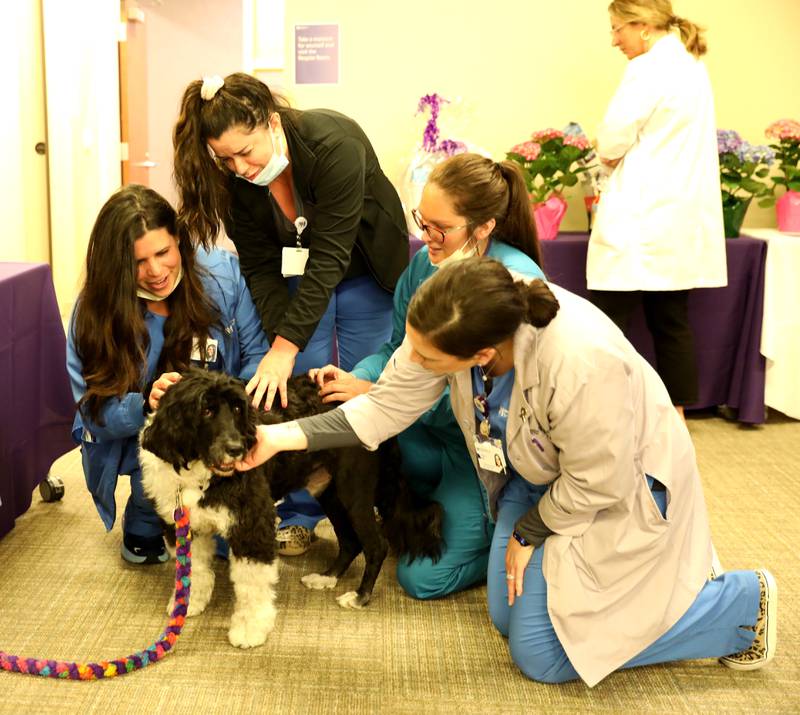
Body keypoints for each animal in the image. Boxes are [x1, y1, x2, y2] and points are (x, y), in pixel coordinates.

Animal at [142, 370, 444, 648]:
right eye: (206, 410)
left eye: (238, 408)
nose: (237, 449)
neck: (201, 473)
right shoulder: (184, 527)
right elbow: (195, 570)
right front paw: (187, 603)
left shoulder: (253, 526)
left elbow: (252, 586)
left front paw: (250, 630)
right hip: (328, 492)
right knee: (350, 541)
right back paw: (326, 578)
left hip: (354, 491)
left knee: (377, 544)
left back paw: (359, 596)